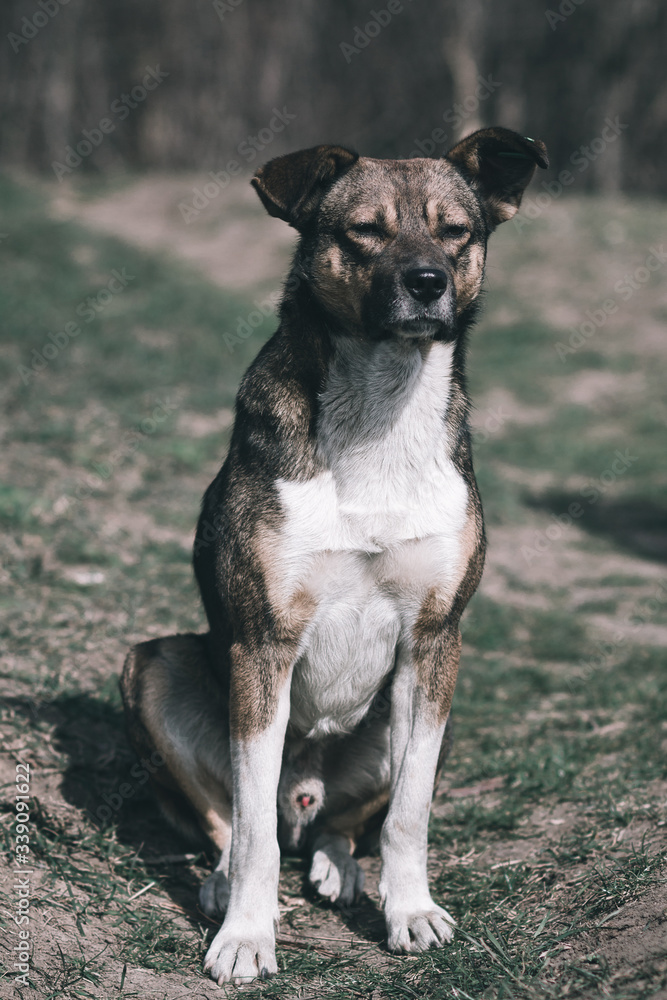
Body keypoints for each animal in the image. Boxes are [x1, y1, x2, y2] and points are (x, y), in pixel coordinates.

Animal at [120, 127, 548, 984]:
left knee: (345, 824)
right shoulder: (262, 645)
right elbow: (249, 827)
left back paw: (338, 865)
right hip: (154, 667)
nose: (427, 283)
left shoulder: (433, 642)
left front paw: (409, 912)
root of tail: (305, 795)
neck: (381, 408)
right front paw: (246, 937)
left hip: (422, 712)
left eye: (457, 232)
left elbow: (409, 814)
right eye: (363, 232)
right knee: (233, 821)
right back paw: (226, 886)